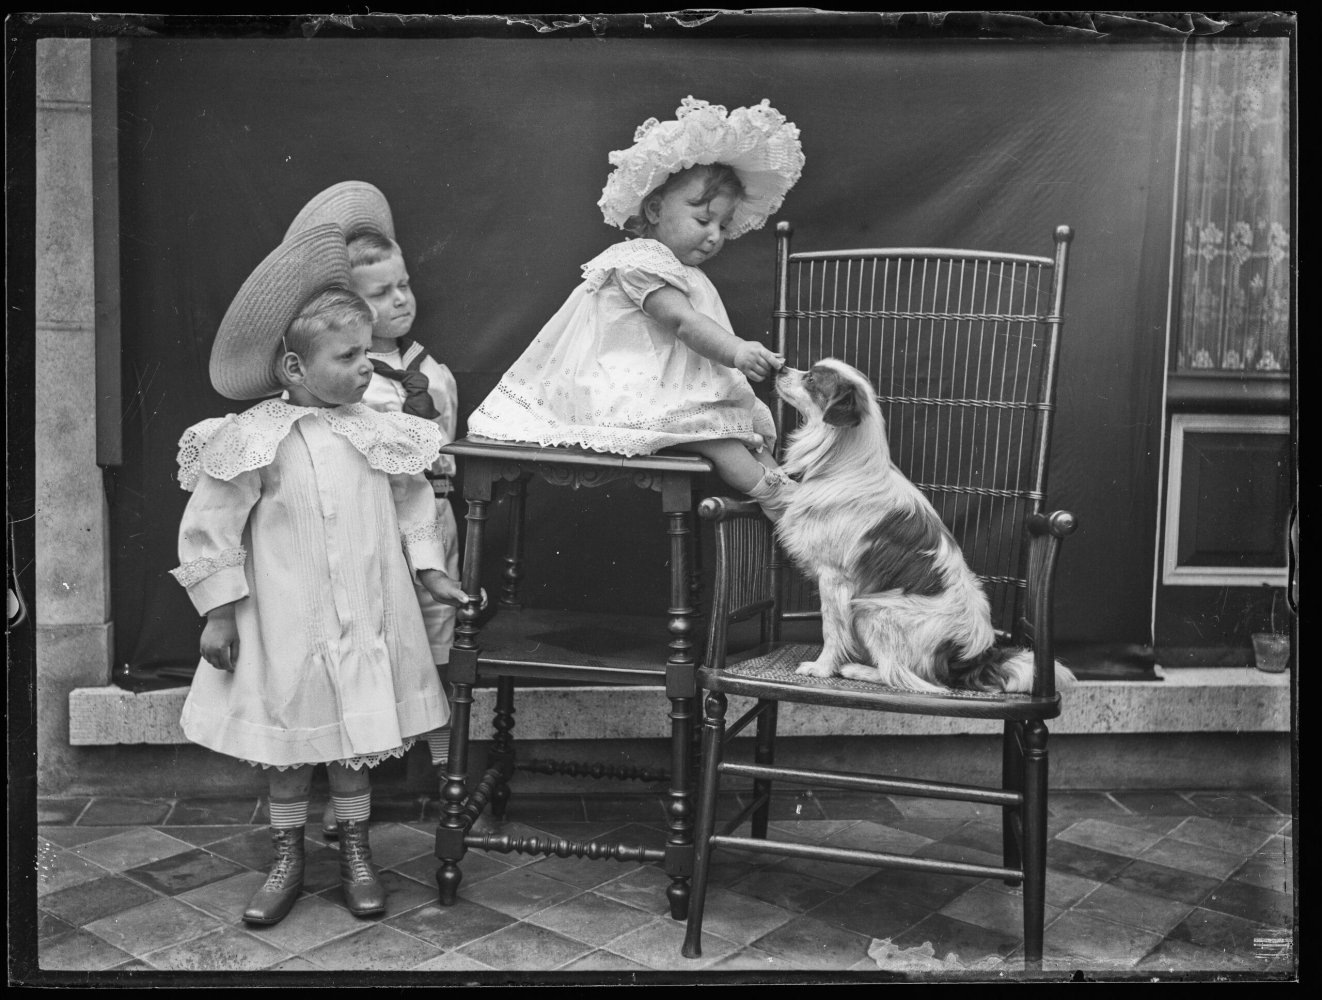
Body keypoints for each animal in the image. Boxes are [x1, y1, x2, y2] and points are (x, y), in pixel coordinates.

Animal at [773, 358, 1074, 695]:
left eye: (811, 379)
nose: (781, 367)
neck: (843, 466)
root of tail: (977, 657)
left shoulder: (834, 578)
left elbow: (832, 629)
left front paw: (822, 667)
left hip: (871, 610)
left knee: (904, 676)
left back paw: (857, 670)